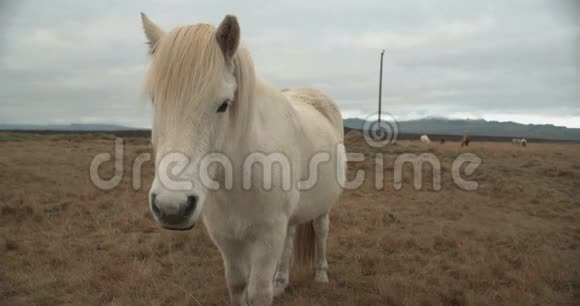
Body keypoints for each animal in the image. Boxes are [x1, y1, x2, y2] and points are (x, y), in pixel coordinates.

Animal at [141, 14, 346, 306]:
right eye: (155, 101)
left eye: (224, 104)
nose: (172, 207)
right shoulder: (226, 237)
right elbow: (237, 285)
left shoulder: (267, 237)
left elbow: (258, 292)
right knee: (290, 238)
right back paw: (281, 281)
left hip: (322, 208)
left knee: (321, 231)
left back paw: (321, 274)